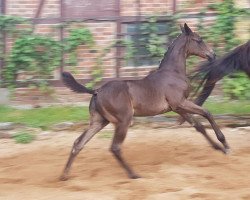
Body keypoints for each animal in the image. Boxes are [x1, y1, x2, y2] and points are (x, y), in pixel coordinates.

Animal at [59, 22, 229, 180]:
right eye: (199, 40)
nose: (213, 55)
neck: (173, 73)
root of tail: (96, 91)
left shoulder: (177, 108)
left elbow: (199, 126)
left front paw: (219, 148)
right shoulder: (180, 103)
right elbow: (207, 113)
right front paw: (225, 143)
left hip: (99, 121)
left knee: (78, 143)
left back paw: (64, 175)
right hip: (123, 120)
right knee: (115, 147)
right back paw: (134, 174)